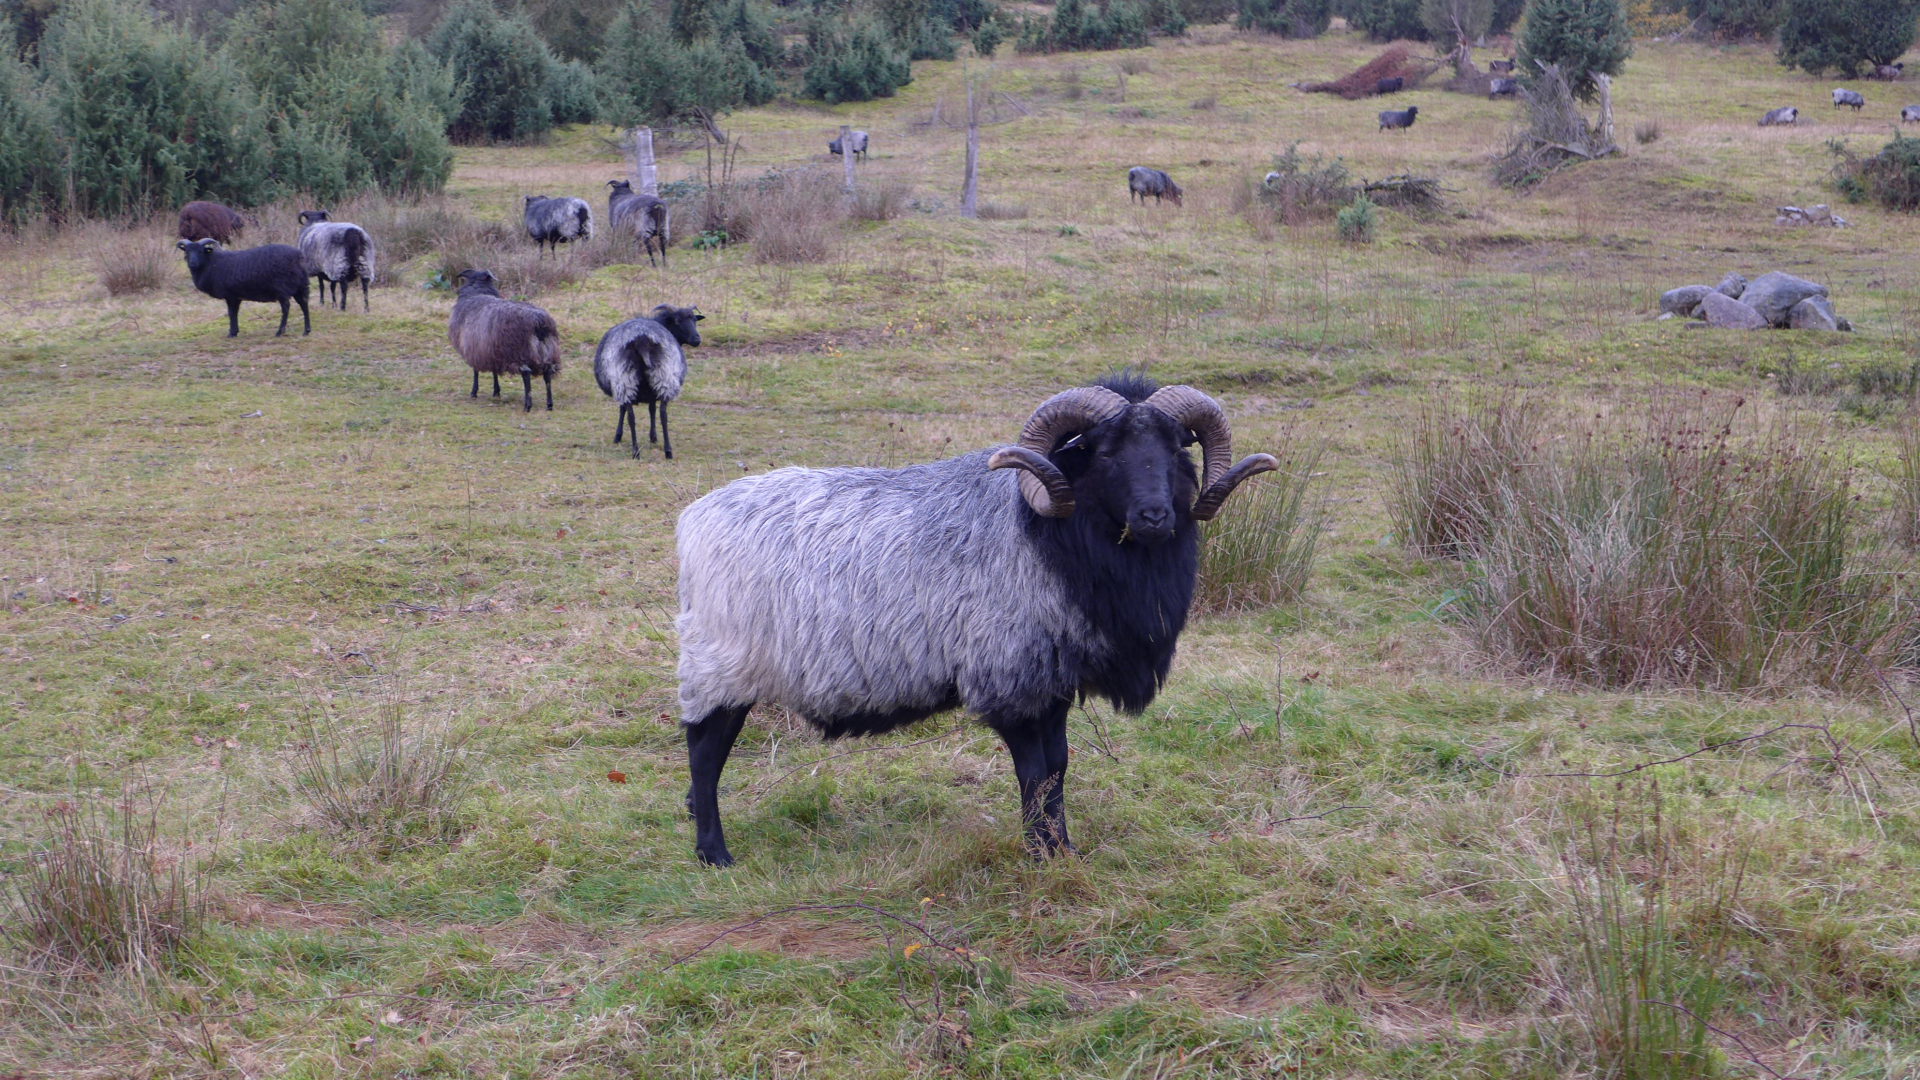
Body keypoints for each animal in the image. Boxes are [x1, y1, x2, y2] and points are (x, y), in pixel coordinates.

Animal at [175, 238, 310, 338]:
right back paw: (306, 331)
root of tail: (298, 256)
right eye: (186, 252)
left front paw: (231, 333)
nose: (192, 263)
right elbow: (234, 312)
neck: (212, 263)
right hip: (300, 285)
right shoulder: (236, 296)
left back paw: (279, 332)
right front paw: (235, 331)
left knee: (286, 307)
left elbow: (231, 313)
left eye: (201, 251)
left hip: (282, 287)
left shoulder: (230, 295)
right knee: (304, 304)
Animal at [446, 269, 562, 413]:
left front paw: (474, 392)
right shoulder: (491, 352)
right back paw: (549, 404)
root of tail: (539, 321)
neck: (477, 293)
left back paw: (527, 405)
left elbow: (475, 371)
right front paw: (496, 391)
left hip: (518, 353)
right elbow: (494, 371)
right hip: (547, 352)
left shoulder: (474, 350)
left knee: (526, 374)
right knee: (547, 373)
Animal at [593, 305, 703, 460]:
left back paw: (636, 452)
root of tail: (642, 340)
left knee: (631, 417)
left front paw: (618, 436)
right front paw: (653, 436)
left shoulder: (619, 384)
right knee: (663, 414)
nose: (697, 339)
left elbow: (623, 409)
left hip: (626, 379)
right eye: (677, 321)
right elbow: (652, 409)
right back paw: (668, 451)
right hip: (663, 376)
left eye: (694, 320)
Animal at [674, 373, 1278, 866]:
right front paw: (1039, 857)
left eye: (1177, 447)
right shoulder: (1008, 678)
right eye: (1105, 452)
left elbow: (1058, 767)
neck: (1051, 536)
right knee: (704, 753)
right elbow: (1033, 774)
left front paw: (1064, 852)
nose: (1155, 516)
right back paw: (713, 854)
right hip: (720, 664)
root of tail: (694, 519)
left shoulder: (1051, 681)